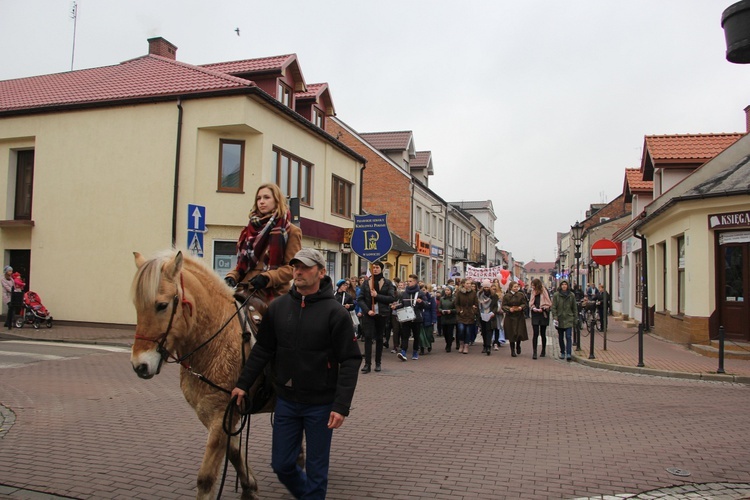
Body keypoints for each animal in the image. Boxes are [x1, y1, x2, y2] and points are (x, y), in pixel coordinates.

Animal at [130, 252, 270, 498]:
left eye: (162, 305)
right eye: (137, 305)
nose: (140, 365)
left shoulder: (222, 413)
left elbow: (206, 478)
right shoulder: (211, 413)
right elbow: (234, 451)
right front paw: (249, 486)